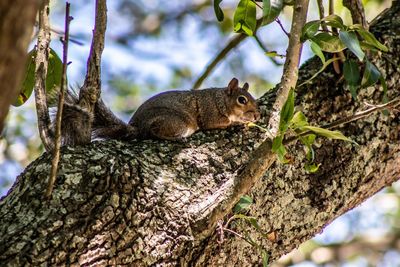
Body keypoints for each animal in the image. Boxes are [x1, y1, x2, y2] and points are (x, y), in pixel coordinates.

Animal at [59, 77, 260, 144]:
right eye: (242, 100)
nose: (257, 115)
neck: (220, 99)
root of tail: (136, 127)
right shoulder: (209, 111)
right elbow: (219, 122)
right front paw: (238, 122)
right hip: (177, 121)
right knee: (154, 133)